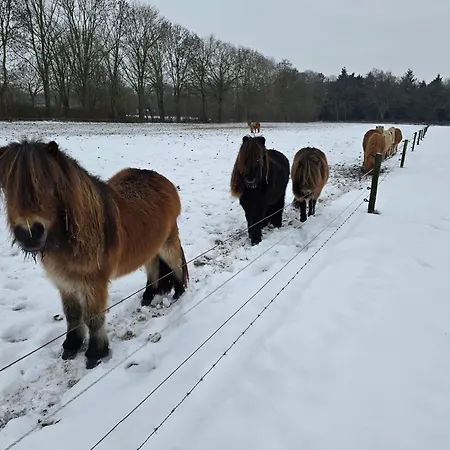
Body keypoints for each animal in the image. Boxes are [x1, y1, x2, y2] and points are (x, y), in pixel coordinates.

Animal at [0, 139, 189, 369]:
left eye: (50, 186)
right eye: (6, 188)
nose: (29, 234)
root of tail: (163, 181)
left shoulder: (94, 284)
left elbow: (93, 319)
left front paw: (95, 352)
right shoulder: (65, 282)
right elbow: (72, 315)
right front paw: (71, 345)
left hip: (167, 242)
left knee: (175, 263)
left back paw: (179, 291)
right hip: (149, 247)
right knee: (153, 266)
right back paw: (148, 296)